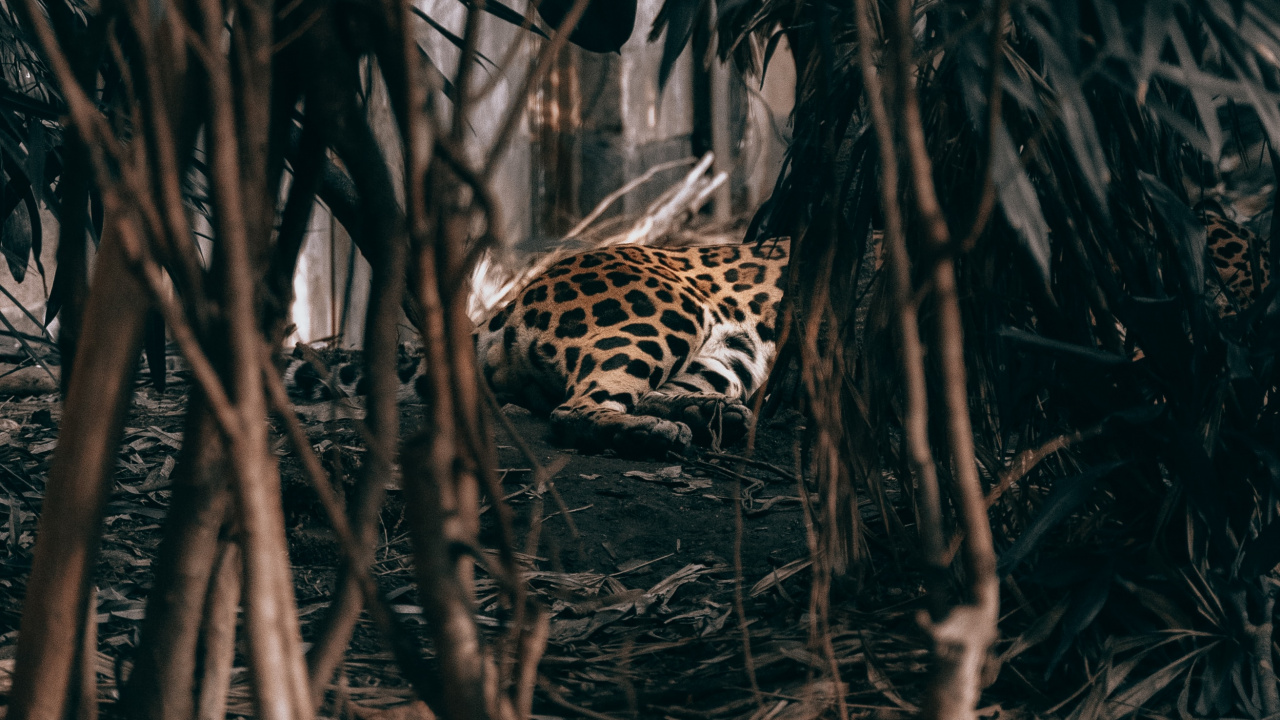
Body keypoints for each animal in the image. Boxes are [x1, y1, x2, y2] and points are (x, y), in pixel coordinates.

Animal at [285, 239, 791, 456]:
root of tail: (510, 301)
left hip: (730, 355)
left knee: (650, 393)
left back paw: (709, 414)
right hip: (665, 311)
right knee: (576, 408)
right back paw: (649, 433)